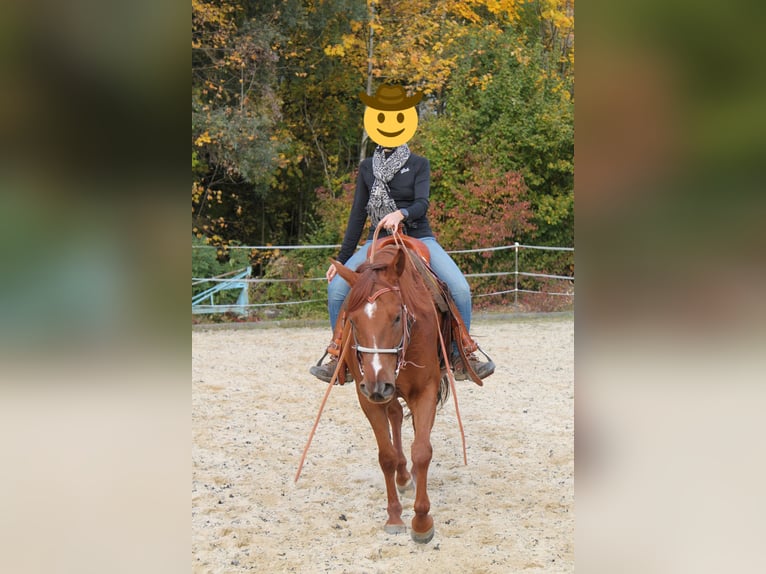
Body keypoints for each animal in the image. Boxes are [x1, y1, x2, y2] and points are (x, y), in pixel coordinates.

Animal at [331, 243, 451, 544]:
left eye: (397, 317)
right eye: (352, 321)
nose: (377, 384)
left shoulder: (426, 389)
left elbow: (422, 450)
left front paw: (422, 522)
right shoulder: (367, 397)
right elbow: (385, 456)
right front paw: (395, 516)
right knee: (395, 415)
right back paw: (403, 476)